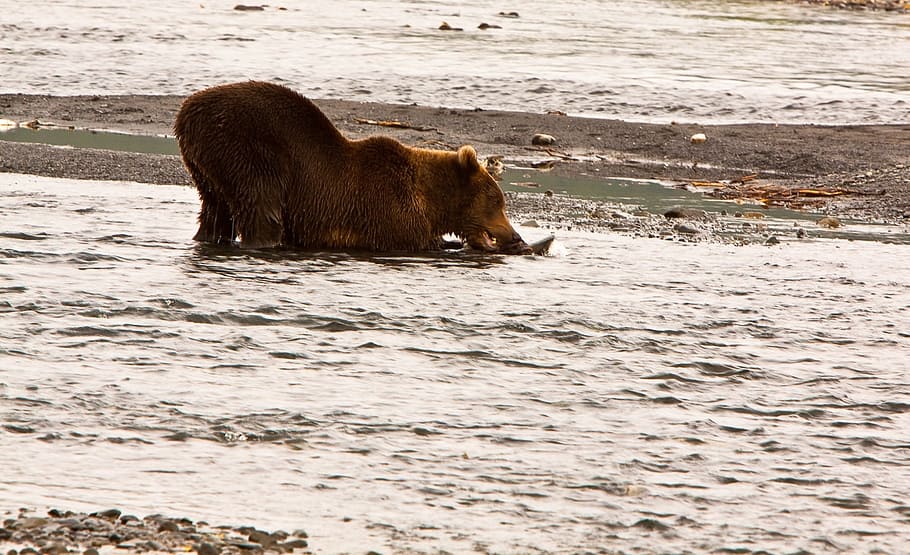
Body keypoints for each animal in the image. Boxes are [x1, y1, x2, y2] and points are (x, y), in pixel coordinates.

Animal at [173, 81, 530, 254]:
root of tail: (185, 113)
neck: (430, 199)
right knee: (262, 208)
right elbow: (413, 239)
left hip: (208, 166)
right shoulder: (388, 208)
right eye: (497, 201)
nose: (514, 235)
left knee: (215, 211)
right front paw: (452, 243)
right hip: (249, 149)